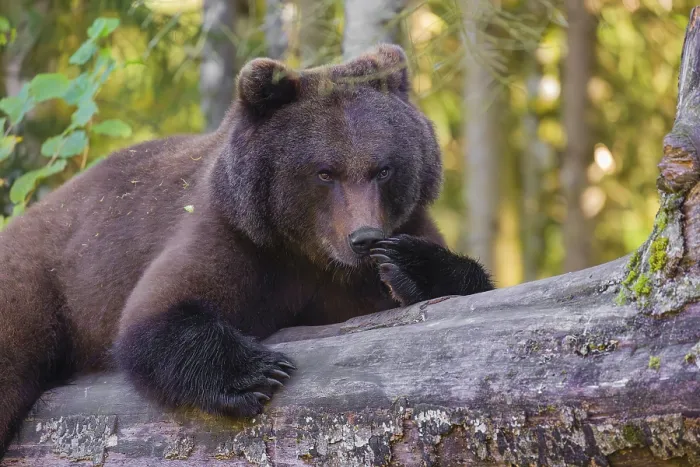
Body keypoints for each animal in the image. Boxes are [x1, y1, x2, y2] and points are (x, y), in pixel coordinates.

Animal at [0, 44, 493, 457]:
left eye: (383, 169)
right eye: (325, 172)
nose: (364, 237)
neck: (312, 254)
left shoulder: (380, 246)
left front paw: (408, 266)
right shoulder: (237, 238)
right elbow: (158, 313)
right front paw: (258, 372)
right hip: (37, 281)